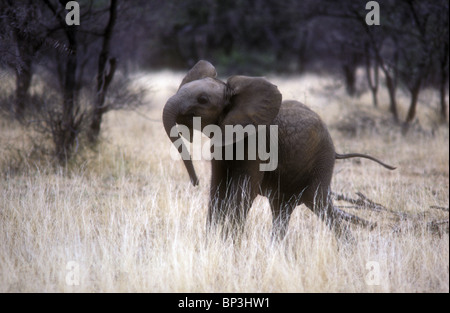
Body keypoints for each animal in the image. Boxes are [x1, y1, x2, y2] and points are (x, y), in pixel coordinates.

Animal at [162, 60, 394, 241]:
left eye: (203, 100)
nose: (195, 182)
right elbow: (217, 188)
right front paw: (212, 243)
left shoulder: (257, 144)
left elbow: (243, 191)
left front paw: (230, 245)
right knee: (282, 209)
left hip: (322, 160)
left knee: (319, 204)